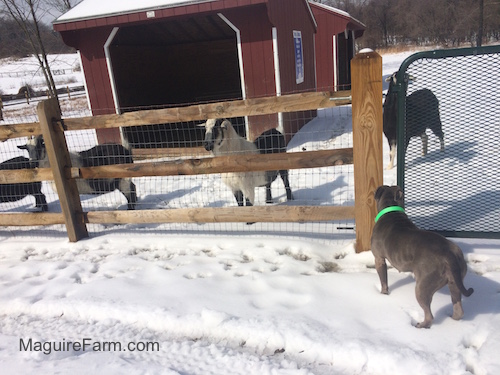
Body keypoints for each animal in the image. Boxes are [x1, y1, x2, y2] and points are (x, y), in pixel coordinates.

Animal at [372, 186, 472, 328]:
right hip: (455, 280)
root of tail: (449, 254)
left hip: (423, 286)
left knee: (429, 315)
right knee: (458, 309)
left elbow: (383, 281)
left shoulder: (379, 259)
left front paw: (383, 294)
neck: (391, 209)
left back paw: (420, 325)